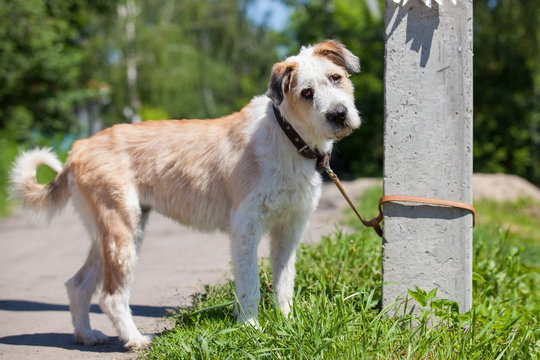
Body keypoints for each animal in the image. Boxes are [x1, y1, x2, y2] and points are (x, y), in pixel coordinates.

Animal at [8, 39, 360, 348]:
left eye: (336, 78)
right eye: (306, 92)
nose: (339, 114)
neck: (288, 137)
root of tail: (78, 148)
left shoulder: (289, 229)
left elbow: (284, 283)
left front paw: (288, 324)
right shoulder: (245, 227)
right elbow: (249, 286)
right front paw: (251, 329)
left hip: (109, 235)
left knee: (78, 285)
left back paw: (86, 335)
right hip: (122, 233)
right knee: (111, 295)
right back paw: (134, 340)